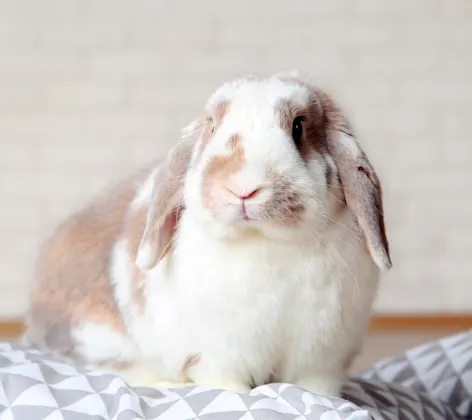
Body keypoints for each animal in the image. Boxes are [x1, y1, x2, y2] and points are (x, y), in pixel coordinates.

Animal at [22, 71, 390, 398]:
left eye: (298, 127)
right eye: (213, 126)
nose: (243, 188)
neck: (264, 242)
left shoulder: (320, 361)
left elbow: (316, 390)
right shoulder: (218, 355)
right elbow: (226, 384)